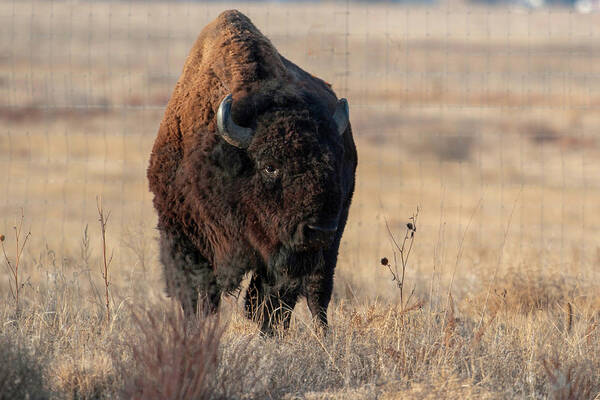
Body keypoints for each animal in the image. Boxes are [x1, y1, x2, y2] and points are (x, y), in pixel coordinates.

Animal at [147, 10, 356, 334]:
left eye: (331, 162)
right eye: (270, 166)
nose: (317, 230)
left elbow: (270, 302)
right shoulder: (182, 237)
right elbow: (197, 298)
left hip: (330, 244)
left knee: (316, 295)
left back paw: (323, 336)